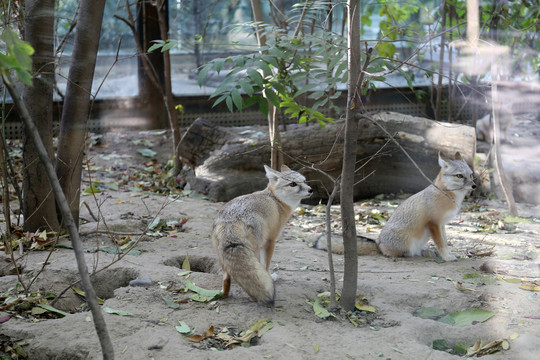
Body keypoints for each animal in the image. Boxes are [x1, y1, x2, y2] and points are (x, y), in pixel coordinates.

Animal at [211, 165, 312, 306]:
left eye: (304, 181)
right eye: (293, 184)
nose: (311, 190)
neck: (276, 200)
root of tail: (229, 221)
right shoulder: (270, 240)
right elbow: (266, 265)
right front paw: (270, 277)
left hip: (221, 257)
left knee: (226, 279)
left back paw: (224, 294)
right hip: (255, 250)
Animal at [314, 153, 474, 262]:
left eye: (471, 175)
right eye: (460, 176)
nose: (474, 186)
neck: (448, 196)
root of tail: (379, 243)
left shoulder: (442, 225)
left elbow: (445, 242)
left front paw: (449, 254)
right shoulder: (434, 223)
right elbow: (441, 244)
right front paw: (446, 257)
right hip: (407, 241)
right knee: (394, 253)